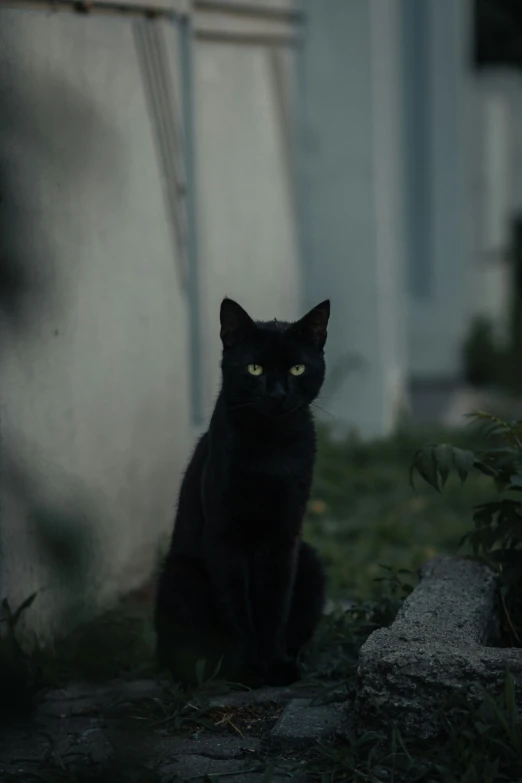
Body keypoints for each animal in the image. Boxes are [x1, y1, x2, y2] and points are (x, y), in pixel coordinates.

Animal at [153, 298, 330, 688]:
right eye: (254, 368)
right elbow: (237, 610)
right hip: (180, 576)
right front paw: (249, 669)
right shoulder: (224, 538)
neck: (271, 449)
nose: (277, 394)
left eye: (297, 368)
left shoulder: (284, 539)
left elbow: (274, 608)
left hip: (310, 560)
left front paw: (276, 665)